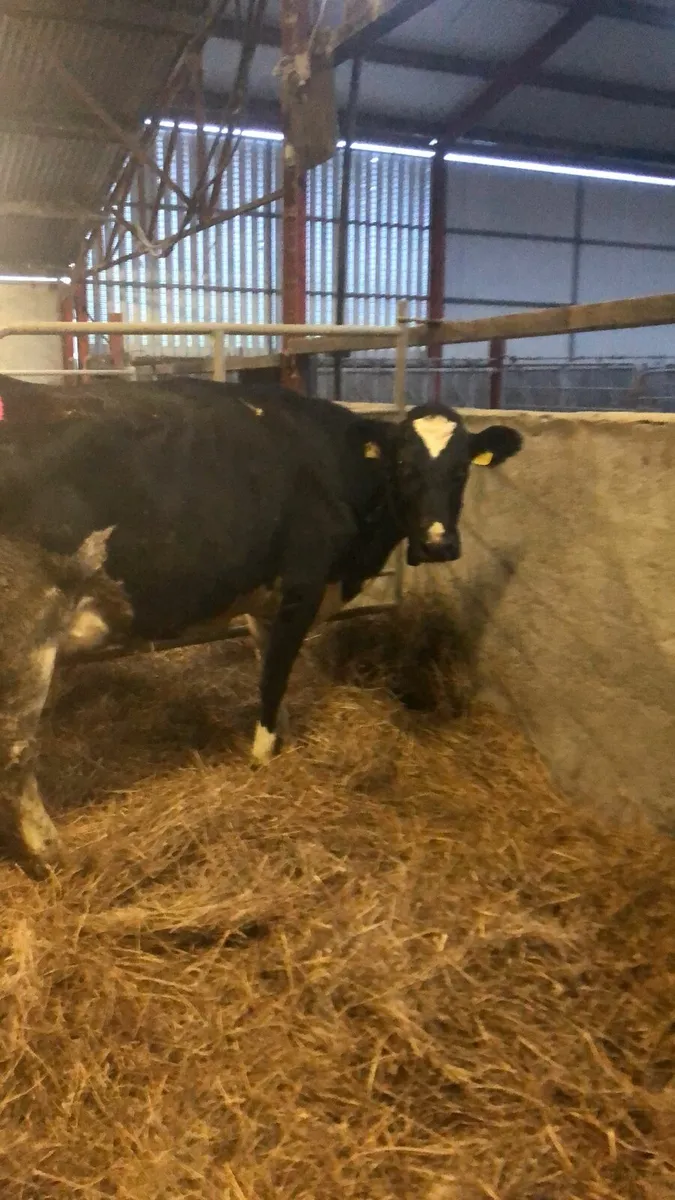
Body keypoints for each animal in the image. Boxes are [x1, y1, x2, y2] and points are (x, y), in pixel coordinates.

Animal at [0, 378, 522, 876]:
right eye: (403, 466)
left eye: (461, 470)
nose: (437, 544)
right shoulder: (302, 585)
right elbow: (273, 680)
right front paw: (263, 758)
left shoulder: (265, 602)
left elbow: (274, 671)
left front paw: (282, 738)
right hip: (26, 631)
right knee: (16, 750)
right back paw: (50, 854)